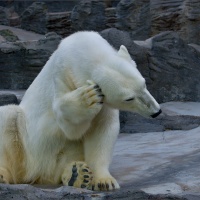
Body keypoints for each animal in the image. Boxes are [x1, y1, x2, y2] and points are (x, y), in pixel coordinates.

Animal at [0, 31, 161, 191]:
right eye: (129, 98)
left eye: (144, 84)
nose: (156, 111)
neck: (83, 49)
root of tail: (36, 174)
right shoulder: (62, 74)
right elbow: (69, 125)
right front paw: (87, 97)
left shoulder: (105, 105)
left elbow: (101, 129)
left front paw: (104, 181)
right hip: (27, 149)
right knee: (9, 116)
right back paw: (3, 175)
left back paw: (76, 175)